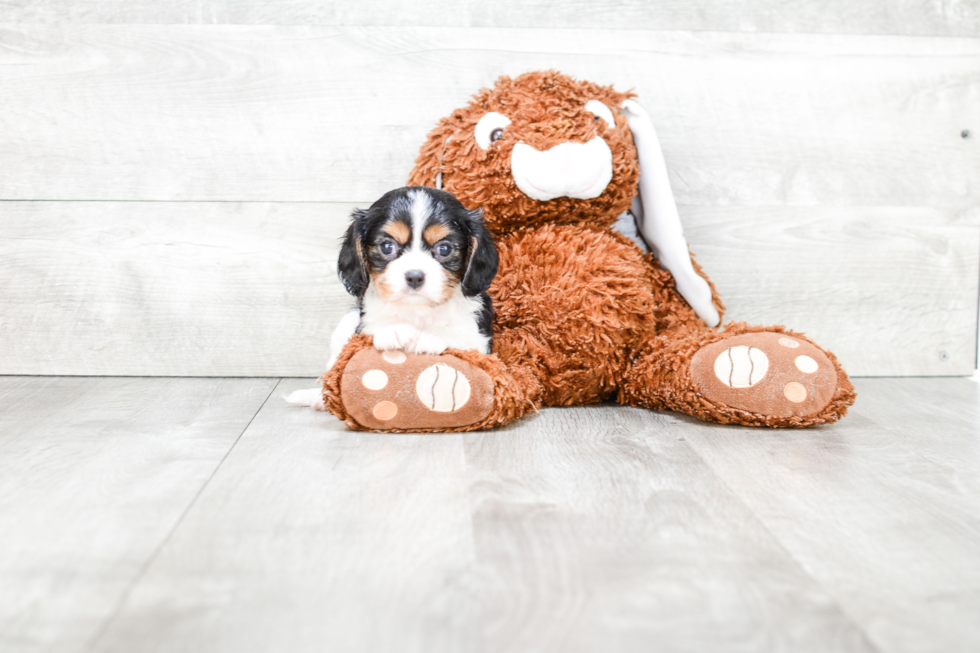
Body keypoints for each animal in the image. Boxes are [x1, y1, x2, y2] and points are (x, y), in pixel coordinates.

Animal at [284, 185, 498, 408]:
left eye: (444, 248)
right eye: (387, 246)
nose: (415, 276)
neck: (417, 310)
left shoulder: (480, 338)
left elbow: (461, 336)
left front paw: (432, 336)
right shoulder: (364, 324)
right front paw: (393, 329)